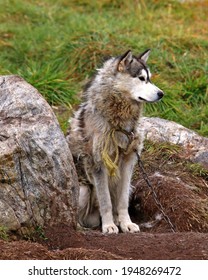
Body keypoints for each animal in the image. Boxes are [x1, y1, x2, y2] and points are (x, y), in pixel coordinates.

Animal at [67, 49, 163, 233]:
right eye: (141, 78)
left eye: (149, 78)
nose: (162, 94)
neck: (118, 123)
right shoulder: (98, 164)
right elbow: (105, 201)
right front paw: (109, 225)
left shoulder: (128, 162)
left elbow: (122, 201)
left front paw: (126, 223)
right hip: (83, 190)